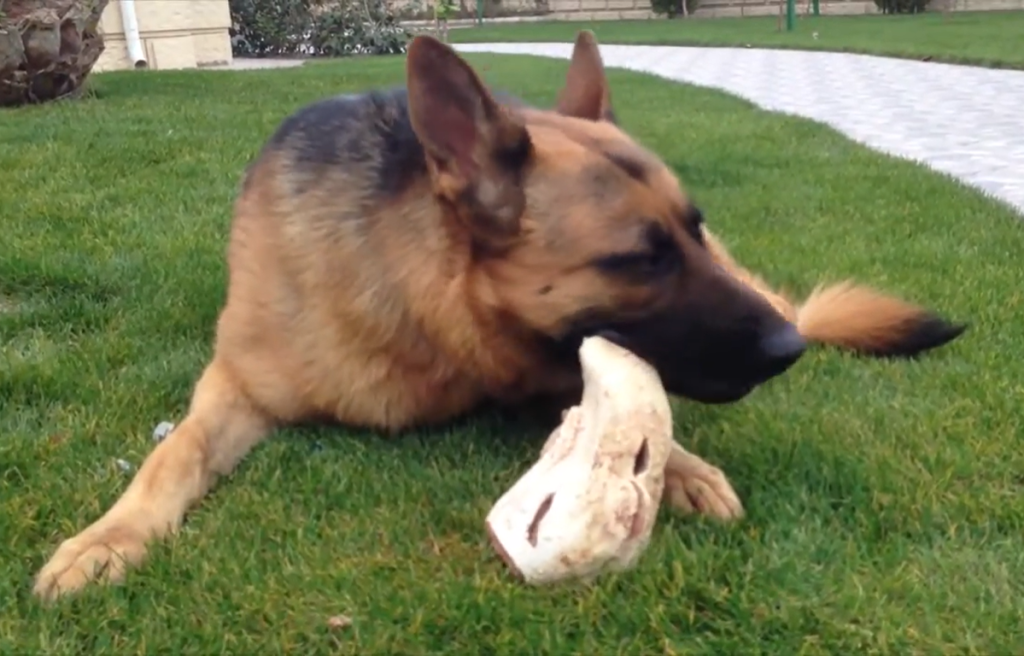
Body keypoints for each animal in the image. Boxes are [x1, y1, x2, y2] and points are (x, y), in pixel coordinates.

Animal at [32, 33, 962, 601]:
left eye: (689, 231)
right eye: (641, 260)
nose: (788, 349)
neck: (412, 308)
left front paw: (683, 467)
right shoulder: (234, 385)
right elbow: (171, 458)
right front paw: (108, 537)